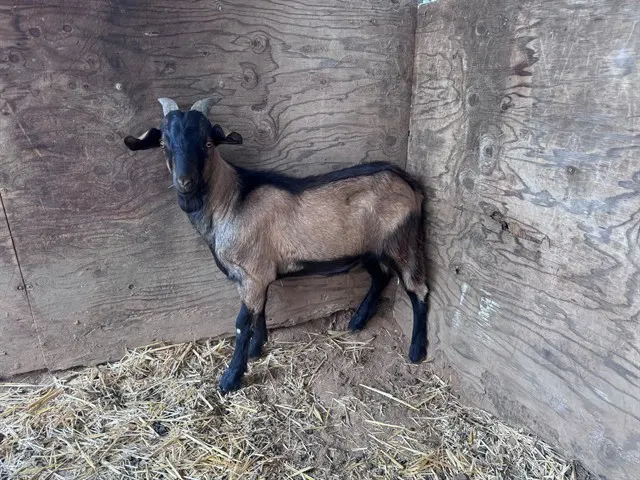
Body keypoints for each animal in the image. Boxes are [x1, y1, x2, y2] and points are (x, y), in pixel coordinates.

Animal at [124, 97, 430, 393]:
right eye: (163, 144)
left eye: (207, 143)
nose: (184, 182)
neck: (232, 200)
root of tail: (411, 184)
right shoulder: (258, 274)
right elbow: (260, 312)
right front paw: (257, 349)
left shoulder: (251, 275)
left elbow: (241, 324)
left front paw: (230, 379)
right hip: (370, 250)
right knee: (381, 277)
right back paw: (357, 322)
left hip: (402, 242)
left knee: (418, 288)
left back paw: (416, 351)